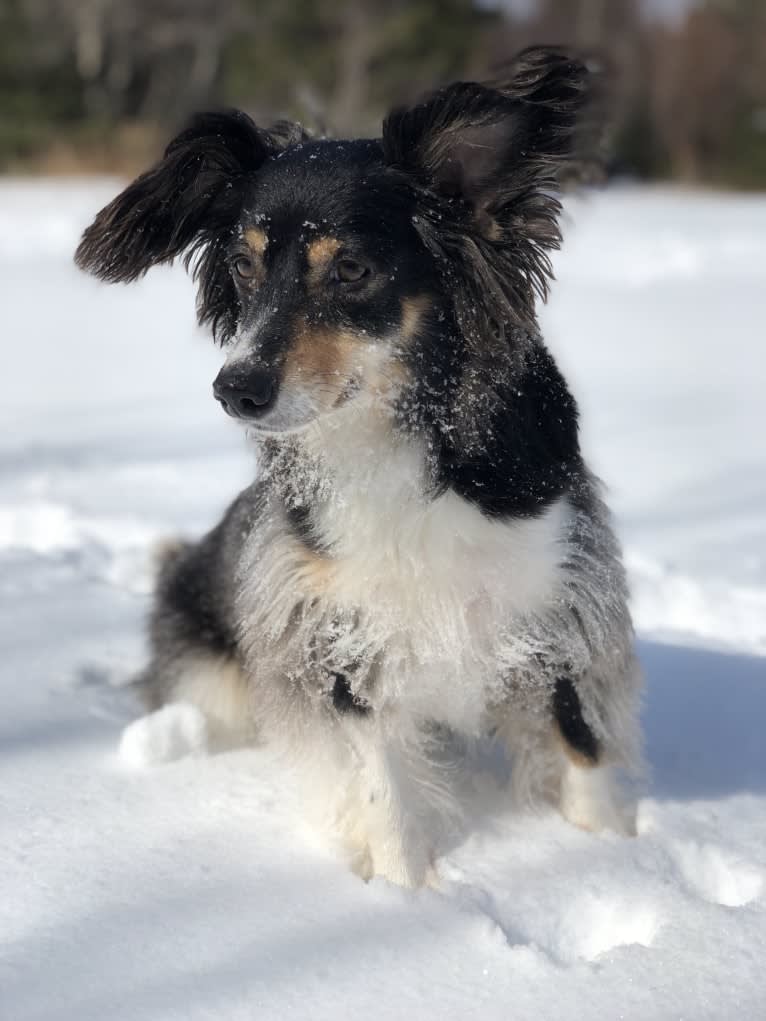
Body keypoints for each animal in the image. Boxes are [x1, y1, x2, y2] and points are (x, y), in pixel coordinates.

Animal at [76, 45, 641, 886]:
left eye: (349, 270)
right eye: (242, 266)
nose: (235, 388)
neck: (393, 437)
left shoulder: (559, 594)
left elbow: (580, 743)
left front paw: (615, 853)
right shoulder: (333, 630)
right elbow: (384, 788)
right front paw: (408, 895)